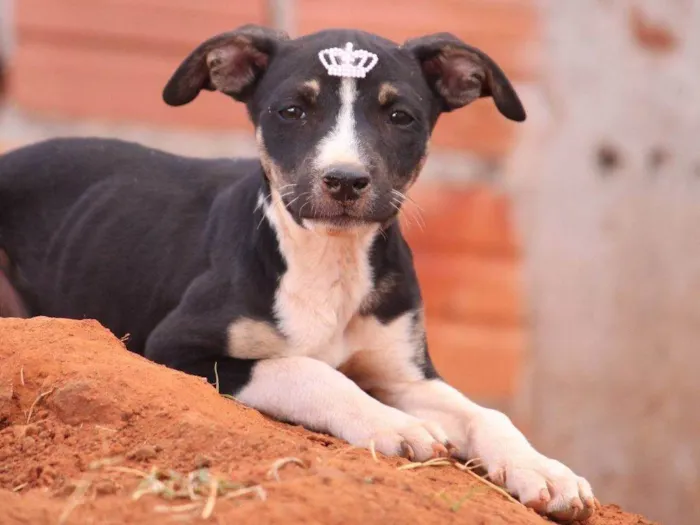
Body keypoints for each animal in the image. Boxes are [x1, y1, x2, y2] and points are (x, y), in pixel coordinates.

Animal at [1, 25, 596, 520]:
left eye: (399, 116)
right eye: (292, 111)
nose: (345, 180)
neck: (330, 263)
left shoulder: (405, 373)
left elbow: (487, 414)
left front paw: (544, 470)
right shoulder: (175, 347)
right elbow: (309, 370)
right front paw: (393, 425)